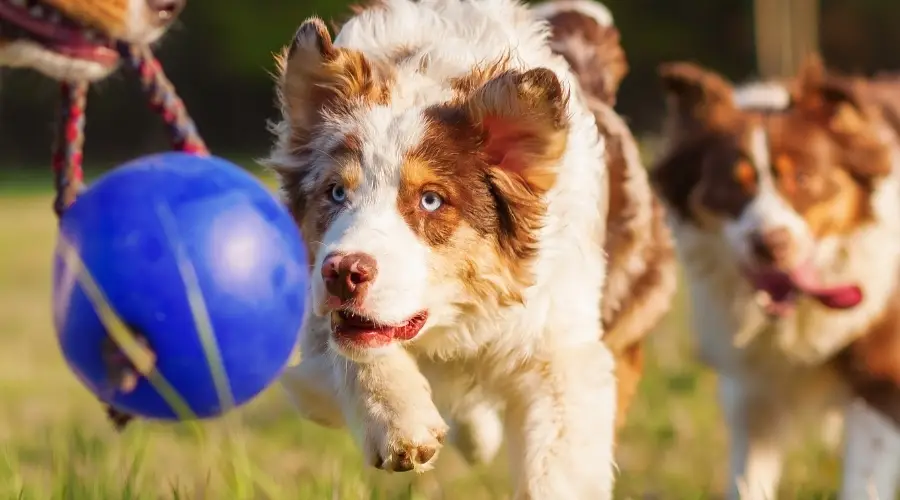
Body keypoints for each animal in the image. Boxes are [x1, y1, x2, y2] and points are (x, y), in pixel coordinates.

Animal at [268, 0, 676, 494]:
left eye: (430, 200)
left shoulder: (563, 352)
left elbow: (557, 467)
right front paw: (402, 425)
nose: (343, 272)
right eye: (335, 192)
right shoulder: (314, 319)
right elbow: (351, 345)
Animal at [652, 55, 900, 500]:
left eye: (802, 178)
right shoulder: (753, 386)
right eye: (732, 185)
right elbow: (749, 476)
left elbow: (864, 479)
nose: (770, 245)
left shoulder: (882, 373)